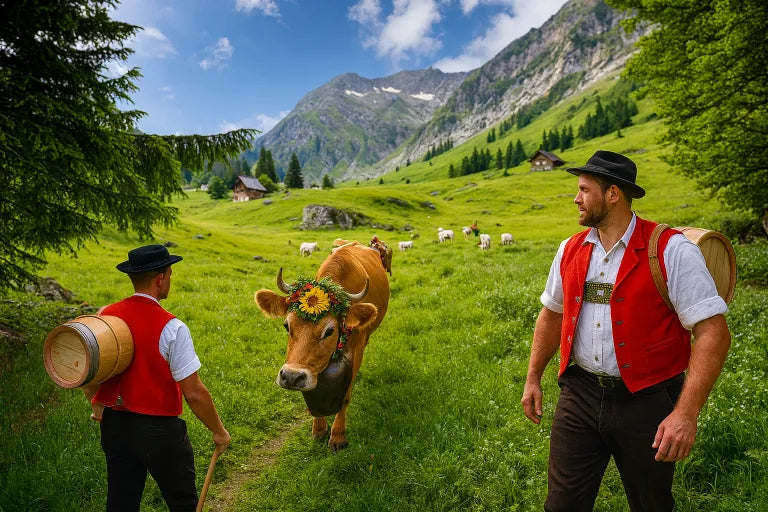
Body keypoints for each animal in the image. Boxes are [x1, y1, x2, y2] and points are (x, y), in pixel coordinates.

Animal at [254, 239, 390, 451]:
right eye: (286, 325)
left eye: (329, 330)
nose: (290, 377)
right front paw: (318, 428)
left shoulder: (357, 349)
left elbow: (345, 396)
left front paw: (337, 436)